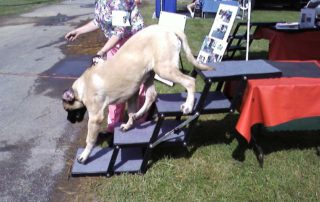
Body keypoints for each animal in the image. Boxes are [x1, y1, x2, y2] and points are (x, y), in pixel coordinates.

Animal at [61, 24, 214, 163]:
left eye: (68, 110)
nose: (69, 120)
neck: (83, 86)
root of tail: (168, 29)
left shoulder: (95, 117)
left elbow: (90, 139)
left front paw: (85, 155)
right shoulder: (132, 95)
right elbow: (130, 112)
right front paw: (129, 124)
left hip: (164, 69)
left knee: (190, 81)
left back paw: (188, 105)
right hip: (149, 75)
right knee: (151, 95)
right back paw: (139, 115)